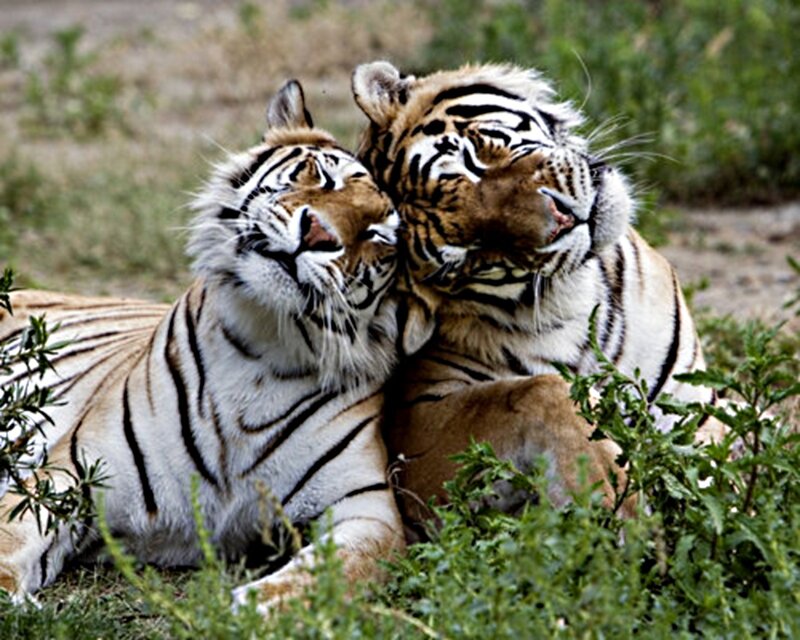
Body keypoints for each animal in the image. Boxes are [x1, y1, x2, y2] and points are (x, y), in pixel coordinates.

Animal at [0, 79, 412, 612]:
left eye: (379, 236)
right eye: (320, 176)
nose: (318, 234)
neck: (266, 348)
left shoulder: (366, 510)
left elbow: (330, 576)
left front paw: (251, 609)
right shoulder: (74, 472)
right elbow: (13, 534)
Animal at [351, 61, 723, 526]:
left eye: (473, 161)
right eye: (471, 254)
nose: (564, 221)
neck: (580, 300)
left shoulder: (693, 404)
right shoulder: (413, 424)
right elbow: (538, 389)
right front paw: (610, 488)